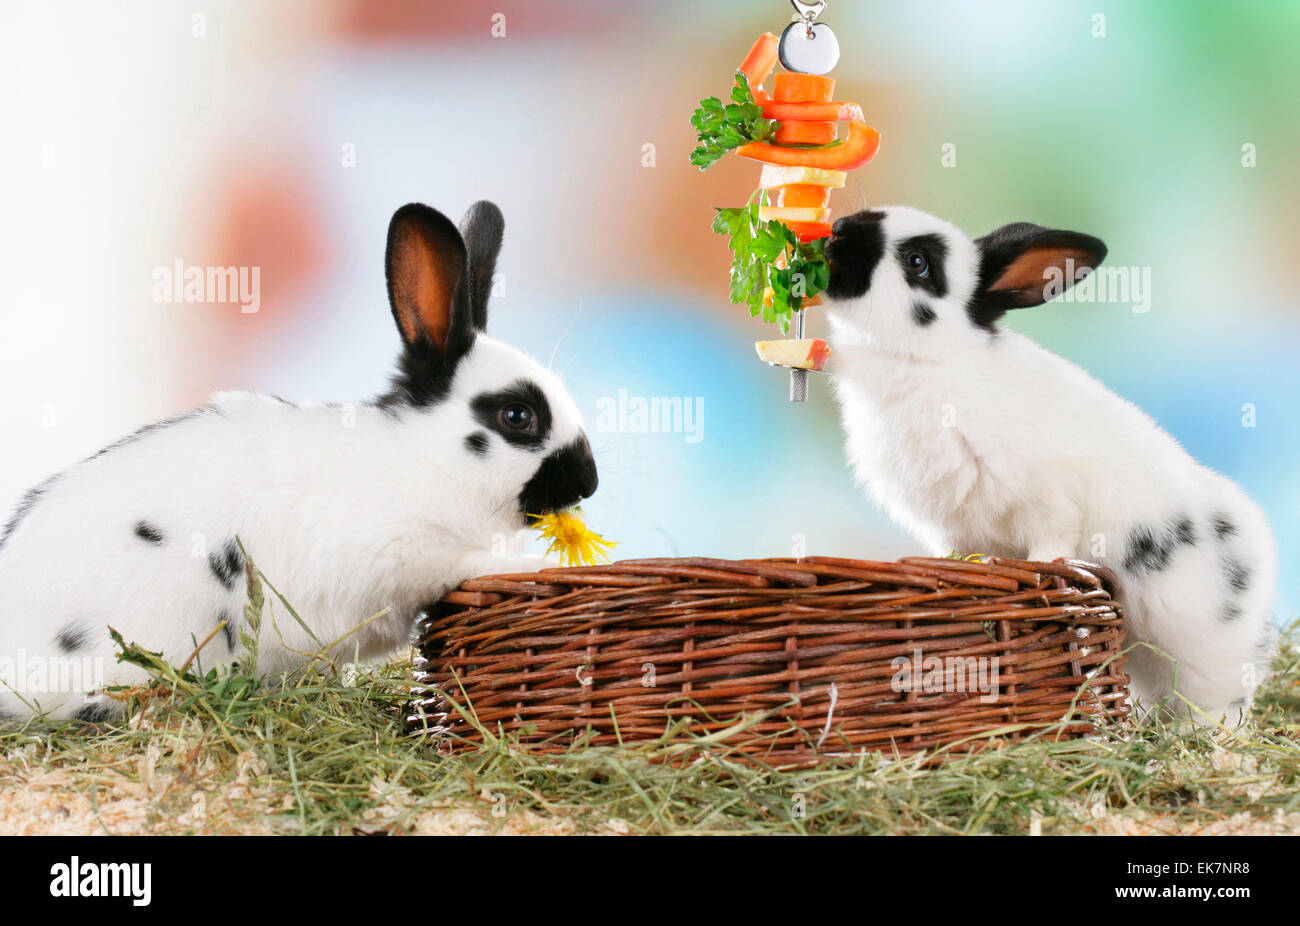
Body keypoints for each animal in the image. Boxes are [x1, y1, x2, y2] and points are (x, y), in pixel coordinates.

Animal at [0, 201, 598, 722]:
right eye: (518, 416)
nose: (588, 484)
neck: (427, 460)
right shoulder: (409, 556)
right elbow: (471, 565)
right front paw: (532, 567)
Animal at [822, 205, 1277, 724]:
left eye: (919, 262)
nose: (837, 231)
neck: (930, 363)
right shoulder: (951, 529)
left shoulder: (1047, 504)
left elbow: (1049, 547)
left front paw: (1040, 578)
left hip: (1205, 654)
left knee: (1221, 702)